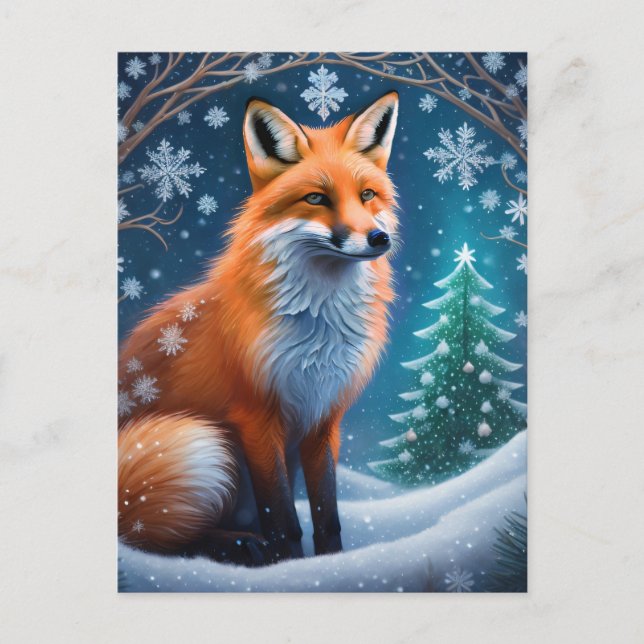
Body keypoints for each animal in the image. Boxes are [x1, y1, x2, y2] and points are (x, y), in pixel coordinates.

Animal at [118, 91, 400, 566]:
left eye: (367, 195)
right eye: (316, 198)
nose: (379, 239)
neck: (319, 330)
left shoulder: (323, 416)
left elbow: (327, 513)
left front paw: (330, 565)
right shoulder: (256, 417)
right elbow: (283, 518)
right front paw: (288, 568)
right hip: (201, 443)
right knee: (151, 539)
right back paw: (239, 546)